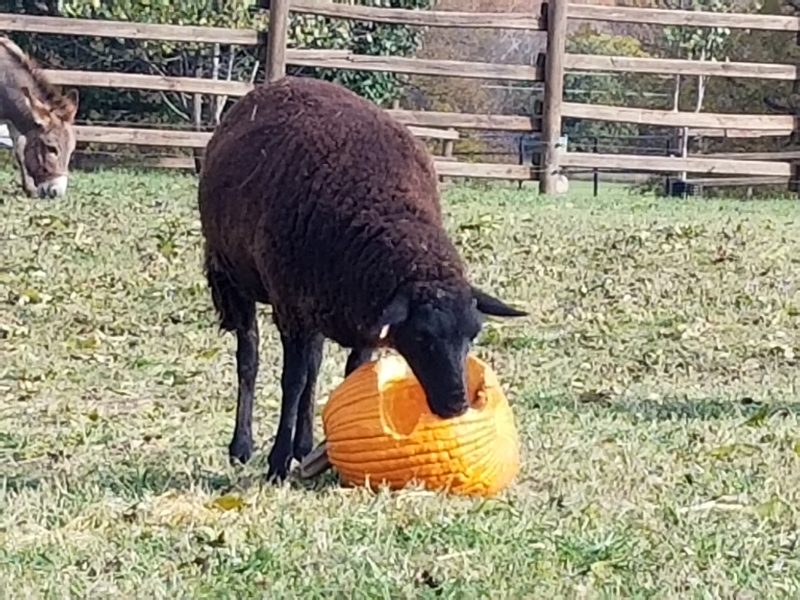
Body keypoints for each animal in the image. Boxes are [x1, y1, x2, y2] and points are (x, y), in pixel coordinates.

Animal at [198, 75, 528, 480]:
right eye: (422, 336)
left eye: (473, 334)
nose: (456, 406)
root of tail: (280, 82)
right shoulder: (292, 307)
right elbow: (291, 382)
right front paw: (277, 463)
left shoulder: (360, 316)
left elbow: (348, 378)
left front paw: (322, 455)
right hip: (232, 275)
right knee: (250, 357)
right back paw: (242, 446)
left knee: (313, 365)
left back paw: (303, 445)